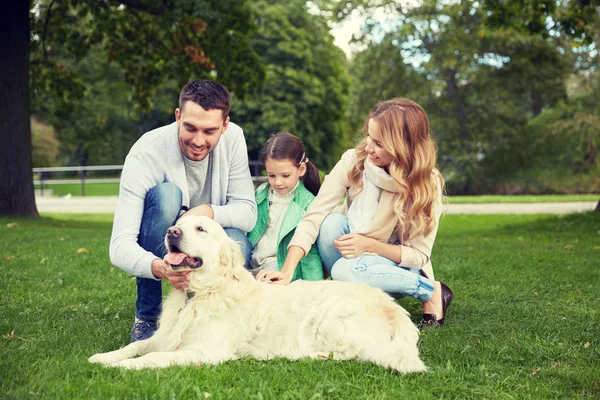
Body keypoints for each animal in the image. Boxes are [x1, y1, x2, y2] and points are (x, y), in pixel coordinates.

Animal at [89, 214, 426, 374]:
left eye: (200, 229)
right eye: (178, 225)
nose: (172, 232)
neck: (201, 293)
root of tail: (395, 310)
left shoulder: (204, 351)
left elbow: (154, 357)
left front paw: (122, 367)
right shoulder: (165, 336)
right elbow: (137, 346)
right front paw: (104, 357)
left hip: (330, 315)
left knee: (354, 352)